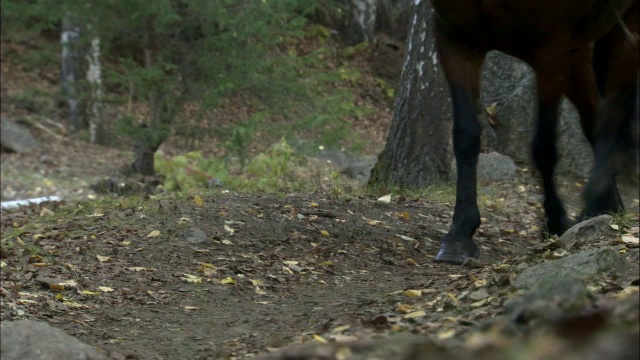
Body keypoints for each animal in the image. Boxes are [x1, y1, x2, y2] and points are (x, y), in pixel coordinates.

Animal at [432, 0, 636, 264]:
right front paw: (459, 234)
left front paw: (555, 221)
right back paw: (607, 207)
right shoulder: (455, 38)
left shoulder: (553, 52)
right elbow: (465, 135)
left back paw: (597, 205)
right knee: (594, 118)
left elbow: (544, 147)